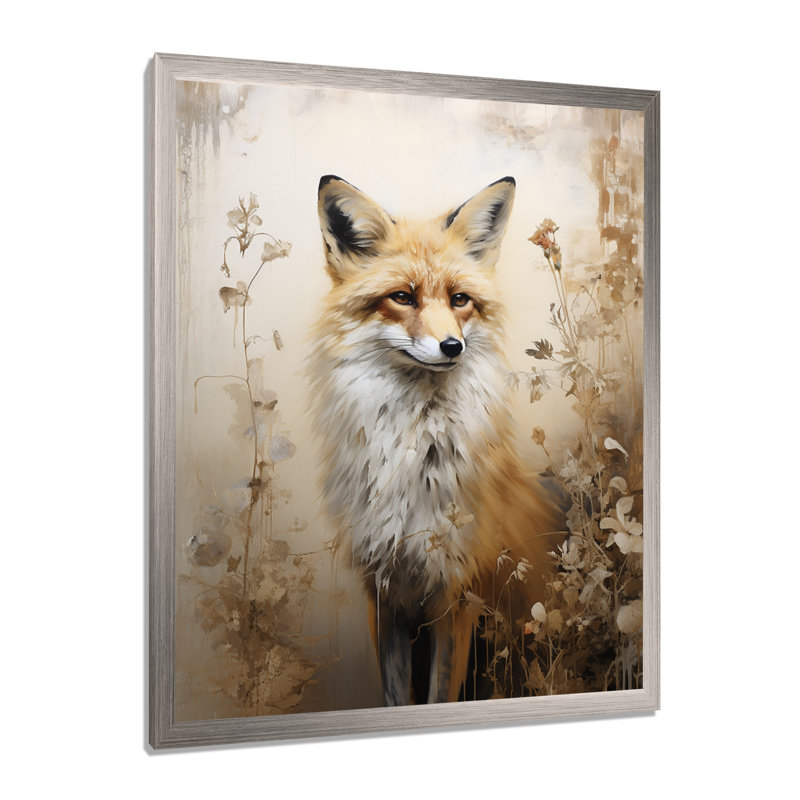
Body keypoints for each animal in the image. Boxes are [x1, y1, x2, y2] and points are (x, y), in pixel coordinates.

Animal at [308, 174, 560, 706]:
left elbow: (439, 695)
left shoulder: (457, 593)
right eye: (403, 297)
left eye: (460, 299)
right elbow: (395, 698)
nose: (452, 347)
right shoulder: (383, 593)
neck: (414, 451)